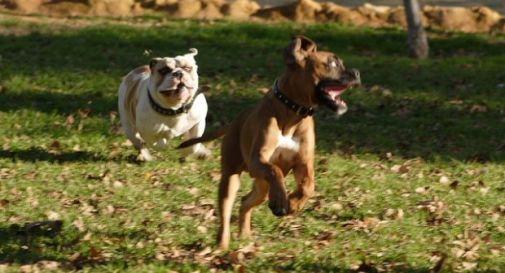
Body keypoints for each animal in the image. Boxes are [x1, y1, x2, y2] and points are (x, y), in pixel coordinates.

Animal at [179, 35, 360, 248]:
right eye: (332, 63)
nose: (356, 73)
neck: (293, 112)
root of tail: (235, 122)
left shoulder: (303, 163)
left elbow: (308, 186)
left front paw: (293, 204)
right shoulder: (259, 160)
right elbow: (276, 170)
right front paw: (282, 201)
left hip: (262, 187)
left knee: (245, 201)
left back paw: (246, 234)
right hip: (231, 177)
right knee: (226, 210)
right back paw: (222, 245)